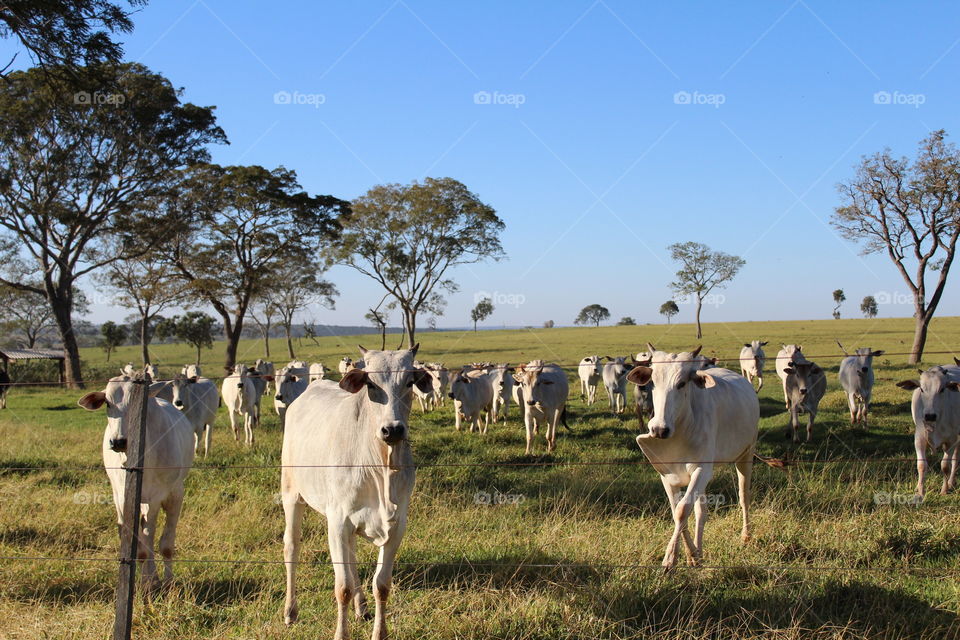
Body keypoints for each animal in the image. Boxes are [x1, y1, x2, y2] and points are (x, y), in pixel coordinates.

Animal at [78, 375, 194, 592]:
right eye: (108, 403)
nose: (118, 442)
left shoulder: (164, 496)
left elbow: (163, 543)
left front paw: (164, 582)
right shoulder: (123, 499)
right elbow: (139, 548)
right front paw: (144, 583)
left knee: (156, 537)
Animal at [280, 345, 432, 639]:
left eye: (409, 382)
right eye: (371, 384)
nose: (392, 429)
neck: (381, 467)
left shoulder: (397, 525)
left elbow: (381, 585)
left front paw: (378, 632)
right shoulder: (337, 522)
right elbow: (343, 588)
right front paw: (341, 633)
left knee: (351, 556)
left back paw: (361, 607)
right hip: (291, 493)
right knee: (292, 546)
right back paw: (290, 611)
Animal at [626, 346, 759, 571]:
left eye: (681, 383)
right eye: (652, 382)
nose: (658, 429)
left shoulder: (702, 469)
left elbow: (682, 510)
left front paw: (670, 558)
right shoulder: (667, 475)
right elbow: (679, 512)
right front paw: (692, 555)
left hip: (746, 454)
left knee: (744, 496)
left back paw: (745, 536)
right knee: (701, 511)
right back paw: (699, 550)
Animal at [897, 365, 960, 499]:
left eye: (942, 389)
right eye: (921, 389)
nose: (929, 416)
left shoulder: (951, 440)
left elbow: (945, 466)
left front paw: (944, 490)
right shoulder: (919, 438)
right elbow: (921, 465)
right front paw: (920, 492)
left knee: (955, 459)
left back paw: (951, 483)